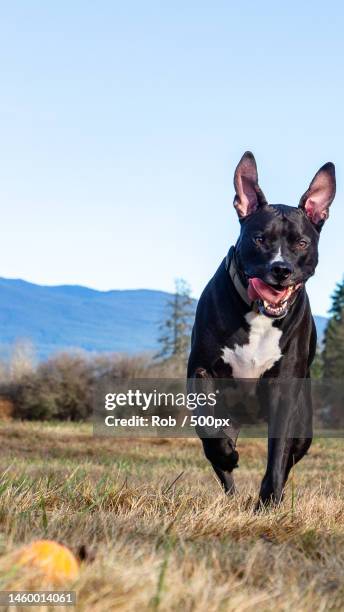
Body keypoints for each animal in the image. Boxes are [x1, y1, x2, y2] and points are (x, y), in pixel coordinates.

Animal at [188, 151, 336, 504]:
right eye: (259, 239)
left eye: (301, 242)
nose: (280, 269)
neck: (259, 314)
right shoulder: (201, 369)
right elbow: (207, 426)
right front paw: (226, 454)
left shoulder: (285, 391)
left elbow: (278, 454)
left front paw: (268, 502)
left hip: (304, 422)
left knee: (290, 454)